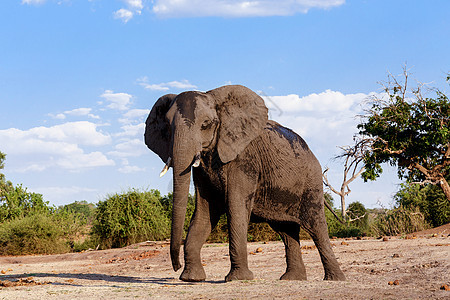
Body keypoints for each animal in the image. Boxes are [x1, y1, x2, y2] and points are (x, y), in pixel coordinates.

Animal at [144, 85, 344, 282]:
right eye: (168, 127)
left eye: (205, 124)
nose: (176, 267)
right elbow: (204, 212)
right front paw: (191, 279)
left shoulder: (245, 160)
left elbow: (236, 208)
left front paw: (238, 278)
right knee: (286, 231)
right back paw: (291, 279)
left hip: (311, 182)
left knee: (316, 227)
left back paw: (335, 279)